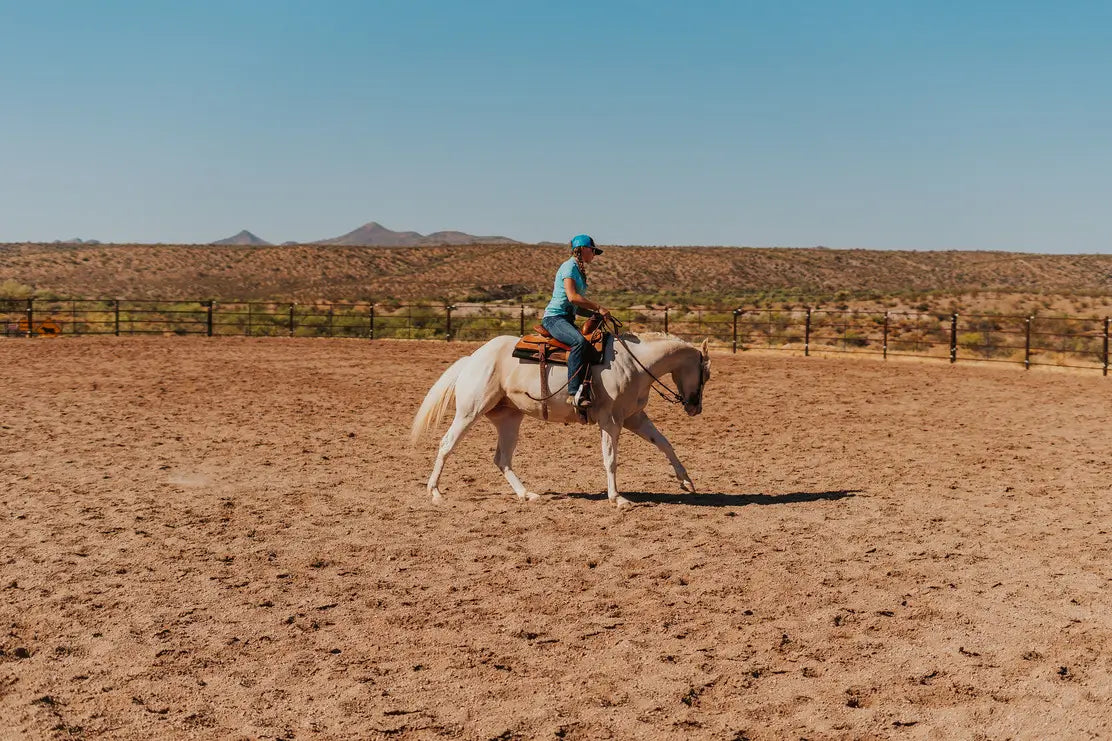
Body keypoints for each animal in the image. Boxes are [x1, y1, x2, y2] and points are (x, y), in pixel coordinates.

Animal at [411, 329, 711, 507]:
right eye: (705, 375)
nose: (694, 408)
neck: (635, 363)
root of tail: (473, 358)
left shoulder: (634, 418)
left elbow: (664, 443)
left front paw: (686, 481)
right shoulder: (611, 421)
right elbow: (611, 459)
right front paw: (617, 498)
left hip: (509, 419)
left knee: (502, 459)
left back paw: (526, 494)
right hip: (470, 411)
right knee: (447, 444)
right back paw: (435, 492)